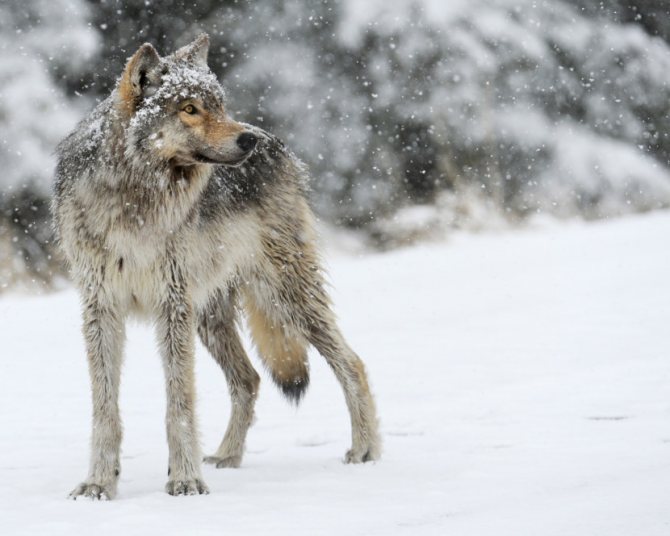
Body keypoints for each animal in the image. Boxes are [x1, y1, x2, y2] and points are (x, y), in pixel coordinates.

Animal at [51, 35, 380, 500]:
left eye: (219, 105)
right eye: (189, 108)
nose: (247, 140)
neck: (135, 201)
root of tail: (278, 143)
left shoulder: (172, 305)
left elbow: (180, 403)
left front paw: (185, 480)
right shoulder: (101, 309)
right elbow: (105, 408)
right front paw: (99, 483)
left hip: (284, 296)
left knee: (352, 363)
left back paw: (365, 449)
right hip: (210, 316)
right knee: (249, 379)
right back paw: (227, 456)